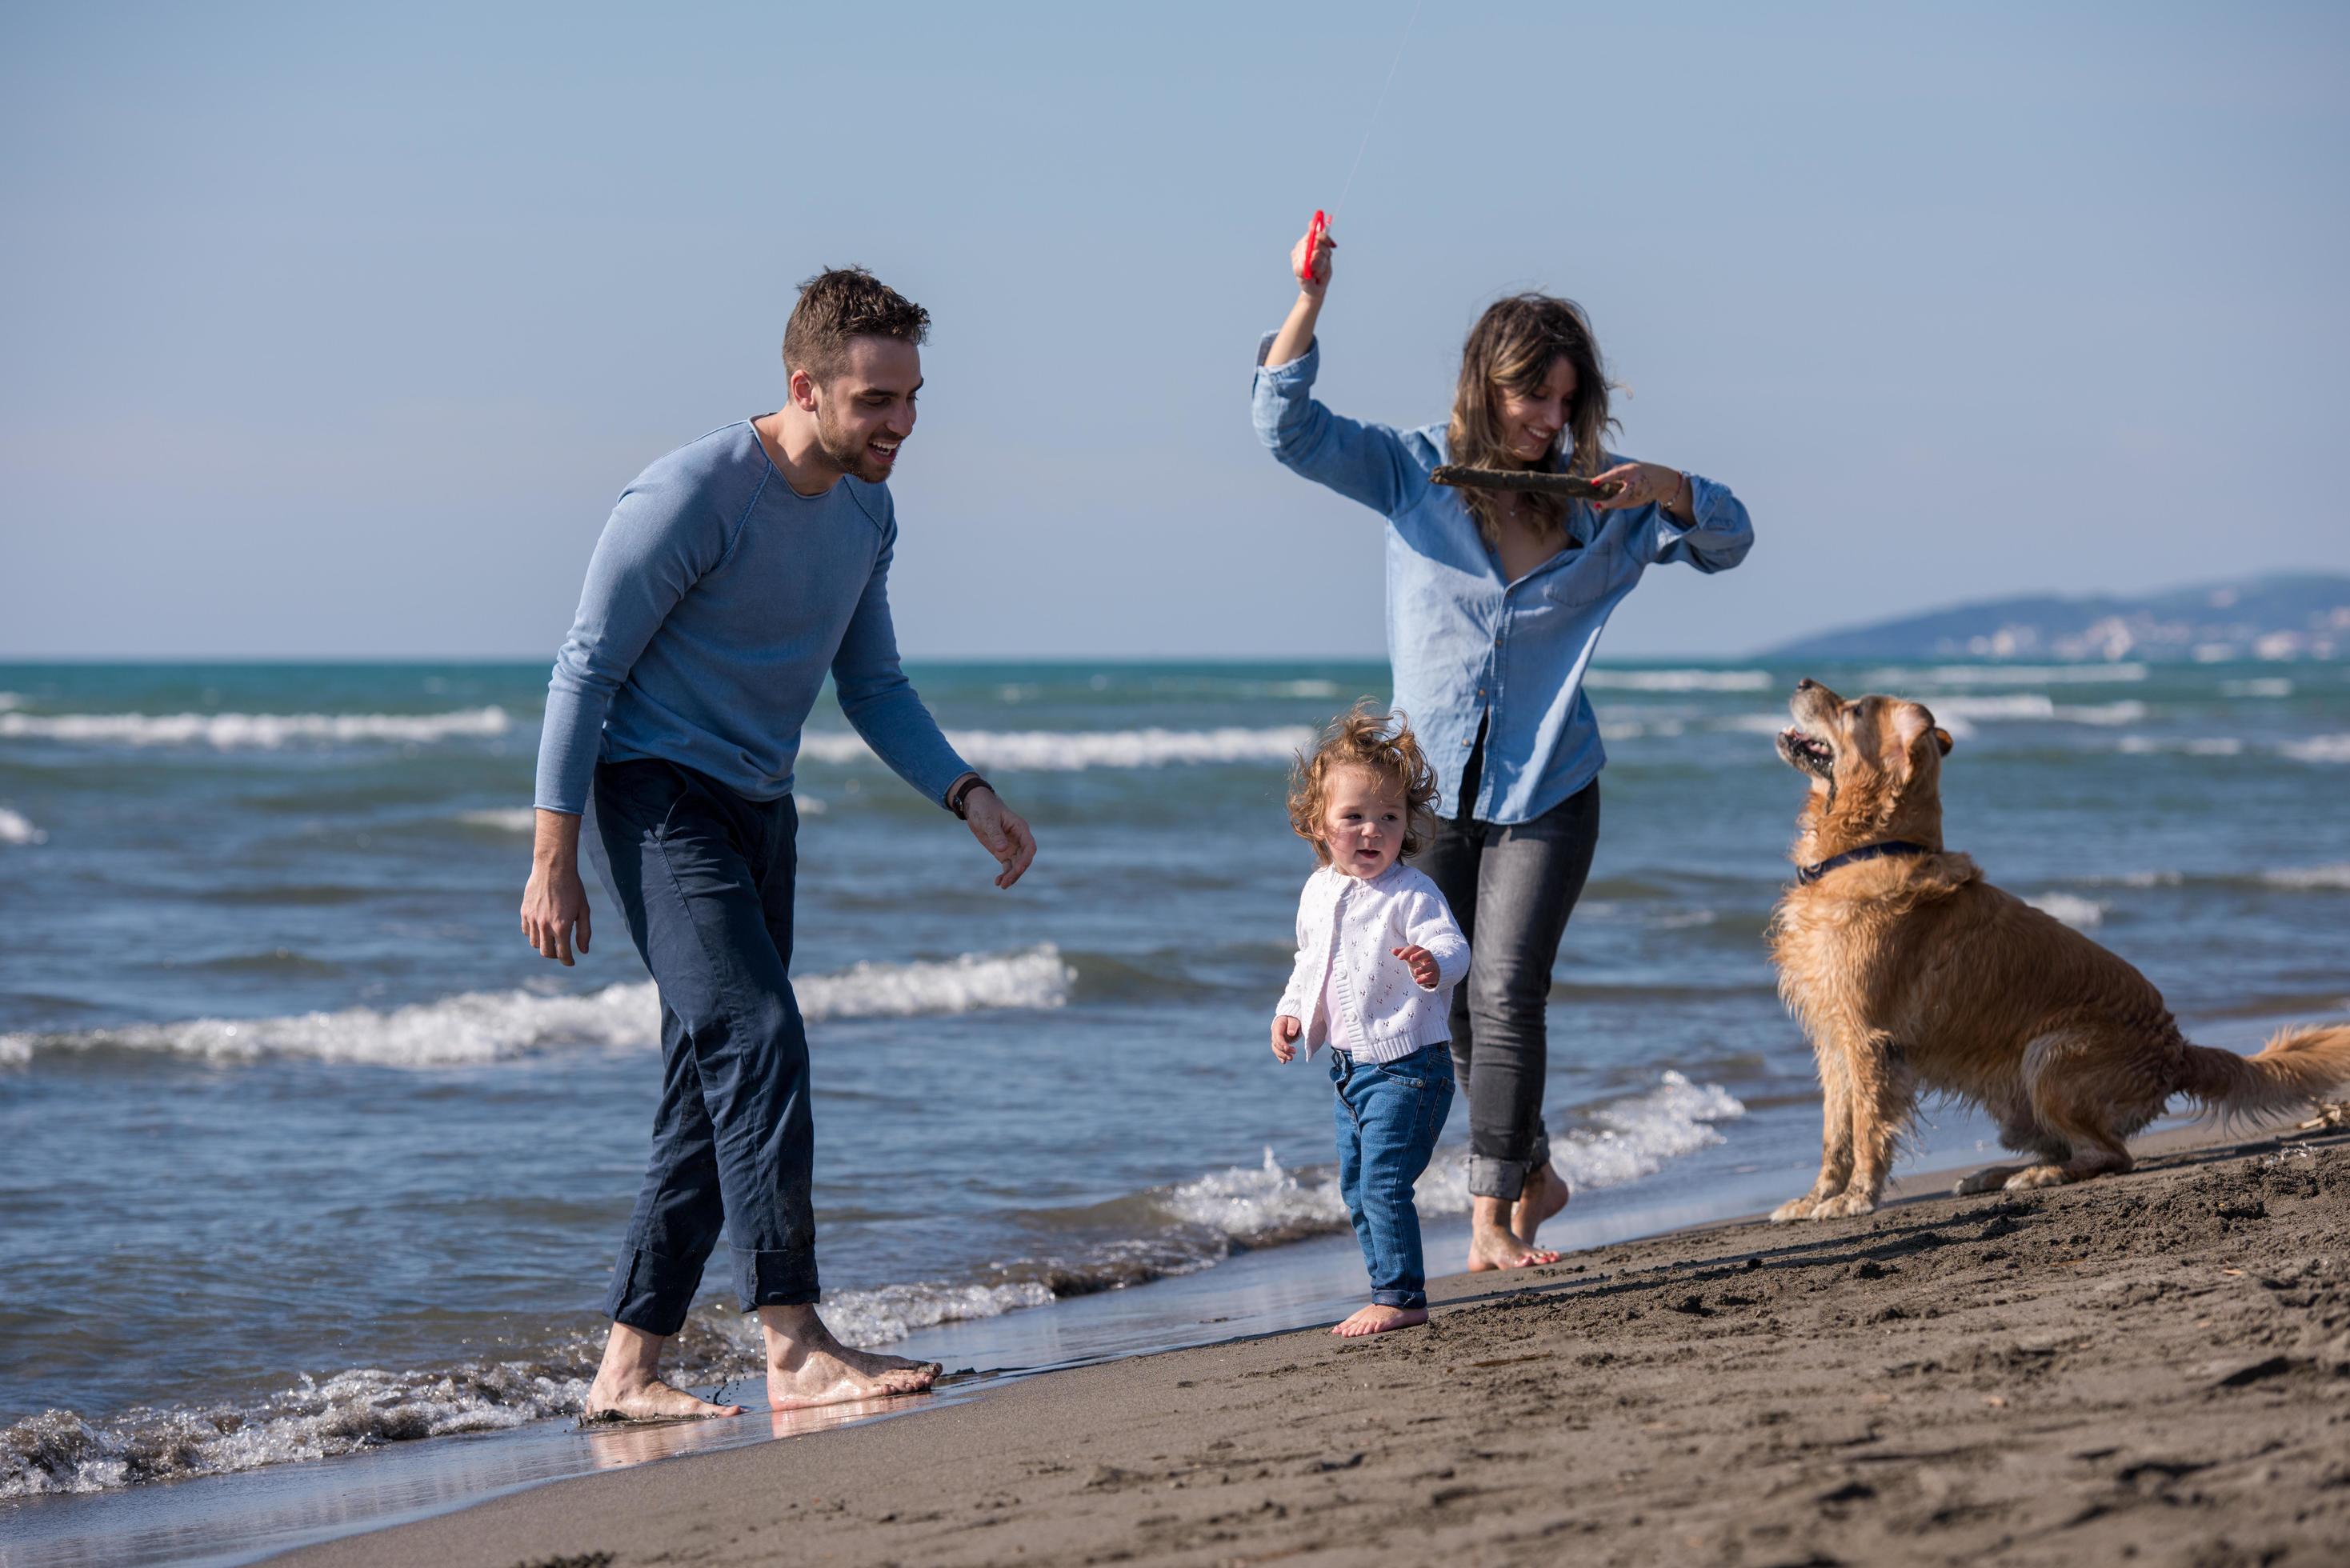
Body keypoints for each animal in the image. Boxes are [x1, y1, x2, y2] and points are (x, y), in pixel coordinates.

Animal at [1767, 677, 2340, 1222]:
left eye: (1855, 709)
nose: (1800, 682)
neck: (1868, 848)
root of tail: (2177, 1051)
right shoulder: (1834, 1041)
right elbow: (1834, 1133)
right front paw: (1814, 1198)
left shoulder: (1870, 1040)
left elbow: (1866, 1130)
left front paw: (1854, 1199)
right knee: (2073, 1148)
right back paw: (1996, 1174)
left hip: (2051, 1056)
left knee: (2110, 1156)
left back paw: (2034, 1177)